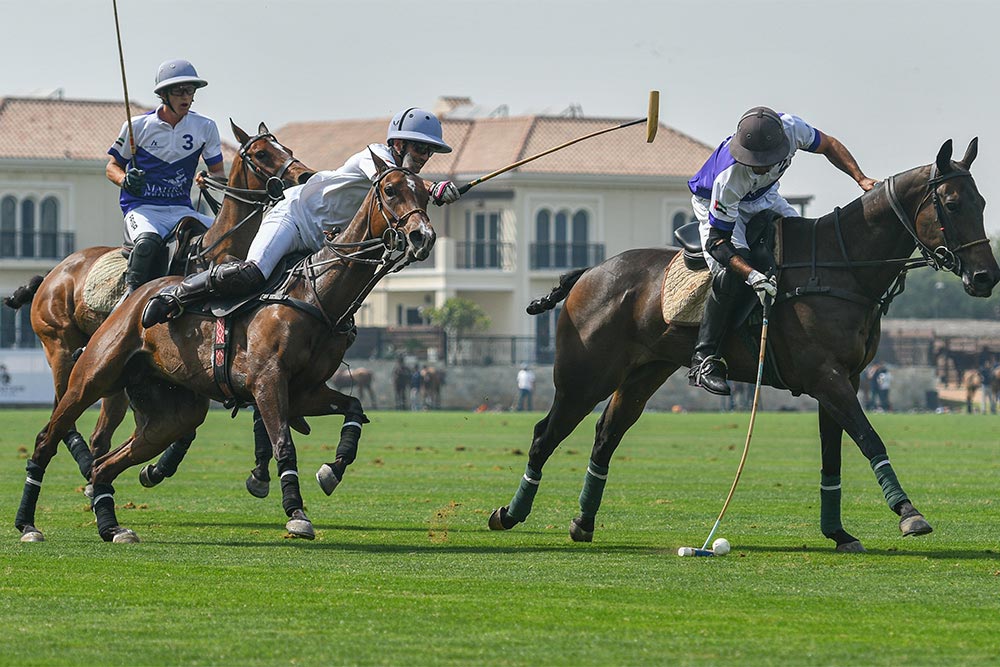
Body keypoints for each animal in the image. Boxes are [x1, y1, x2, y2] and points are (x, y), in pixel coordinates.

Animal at [2, 121, 312, 486]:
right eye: (261, 153)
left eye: (288, 150)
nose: (305, 175)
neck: (218, 252)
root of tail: (53, 273)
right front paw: (157, 468)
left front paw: (259, 470)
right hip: (62, 348)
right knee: (65, 416)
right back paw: (87, 462)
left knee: (98, 432)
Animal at [12, 154, 434, 544]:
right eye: (391, 190)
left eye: (426, 193)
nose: (423, 237)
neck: (317, 295)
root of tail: (132, 296)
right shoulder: (268, 381)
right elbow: (283, 443)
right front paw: (296, 512)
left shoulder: (304, 391)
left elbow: (354, 409)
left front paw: (332, 470)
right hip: (88, 376)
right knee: (49, 439)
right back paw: (28, 524)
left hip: (170, 415)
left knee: (107, 463)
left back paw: (111, 525)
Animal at [488, 138, 996, 552]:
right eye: (952, 204)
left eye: (982, 201)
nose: (985, 277)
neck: (841, 267)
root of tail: (587, 273)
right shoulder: (826, 377)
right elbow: (870, 437)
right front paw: (909, 514)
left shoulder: (844, 380)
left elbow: (833, 455)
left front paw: (838, 532)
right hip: (584, 377)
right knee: (545, 435)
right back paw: (509, 514)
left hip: (643, 374)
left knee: (605, 435)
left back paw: (583, 521)